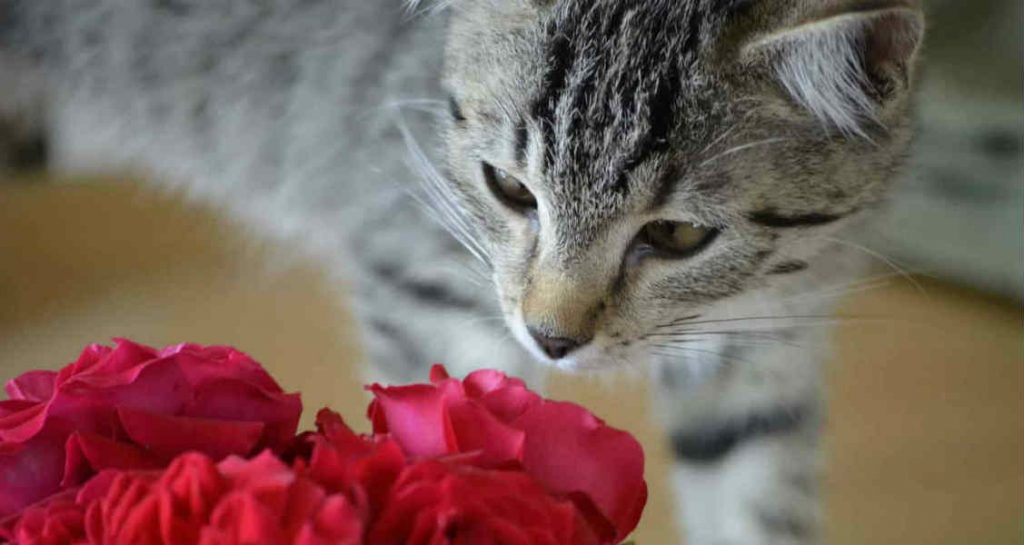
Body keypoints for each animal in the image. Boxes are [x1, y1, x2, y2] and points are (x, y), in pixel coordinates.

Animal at [0, 1, 925, 540]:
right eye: (509, 189)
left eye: (677, 235)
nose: (553, 339)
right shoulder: (426, 287)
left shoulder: (773, 330)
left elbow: (757, 492)